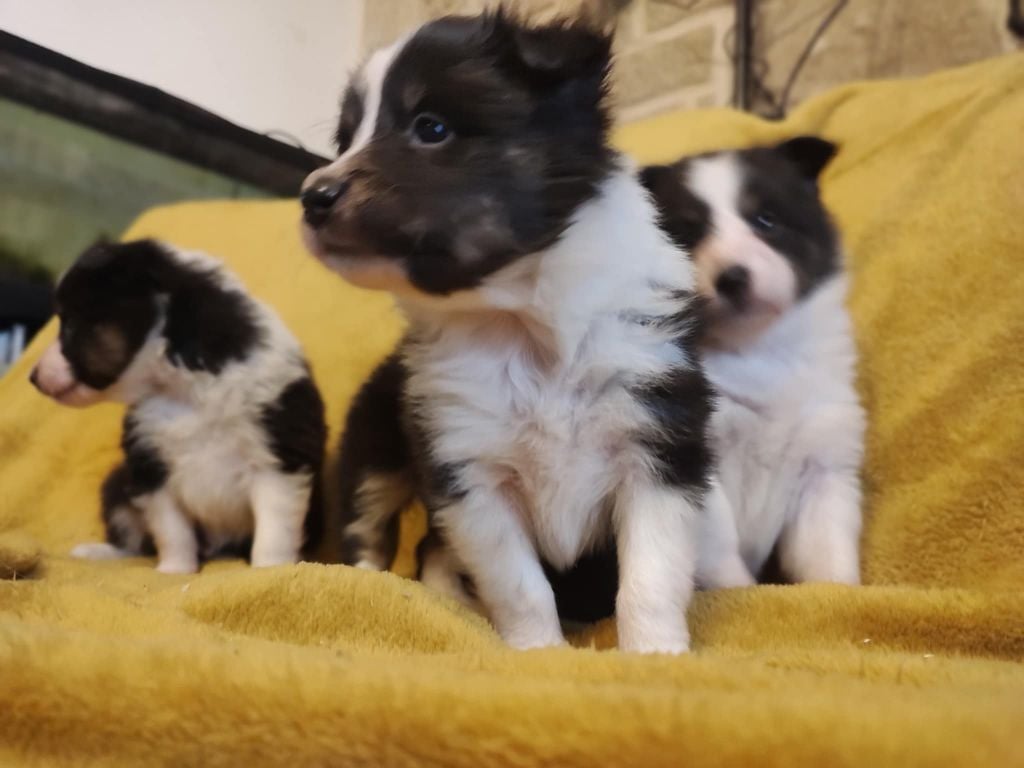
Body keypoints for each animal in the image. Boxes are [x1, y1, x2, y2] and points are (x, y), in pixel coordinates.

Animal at [29, 239, 323, 573]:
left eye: (69, 325)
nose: (32, 377)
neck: (184, 384)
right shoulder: (151, 467)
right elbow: (172, 530)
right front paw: (174, 570)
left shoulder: (277, 461)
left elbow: (273, 531)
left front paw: (270, 570)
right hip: (117, 487)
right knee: (133, 541)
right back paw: (97, 552)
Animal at [299, 10, 716, 655]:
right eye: (344, 140)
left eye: (432, 127)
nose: (312, 196)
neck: (522, 320)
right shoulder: (467, 470)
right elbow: (521, 586)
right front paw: (539, 652)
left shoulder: (660, 448)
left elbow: (650, 578)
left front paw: (655, 656)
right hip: (376, 445)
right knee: (373, 529)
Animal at [643, 138, 868, 585]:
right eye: (686, 234)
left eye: (766, 220)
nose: (732, 278)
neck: (755, 349)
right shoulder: (692, 461)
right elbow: (720, 549)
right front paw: (741, 592)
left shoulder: (824, 465)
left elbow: (827, 553)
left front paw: (842, 591)